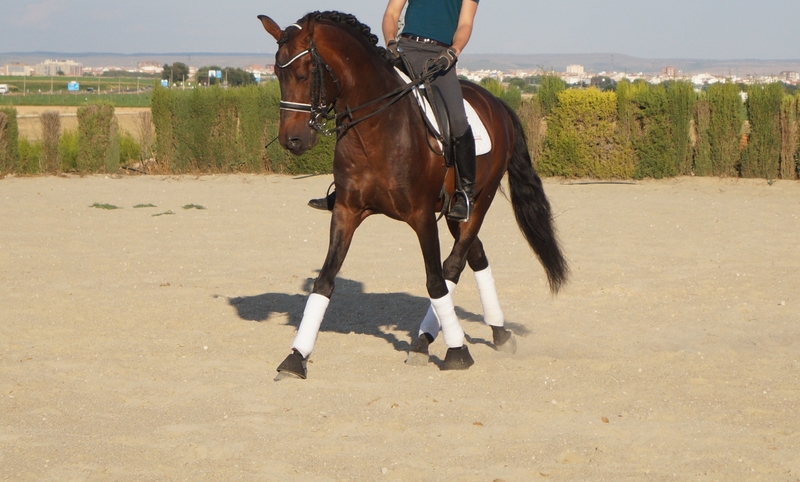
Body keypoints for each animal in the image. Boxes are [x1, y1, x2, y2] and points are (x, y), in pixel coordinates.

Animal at [258, 11, 568, 379]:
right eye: (277, 73)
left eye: (304, 74)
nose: (292, 141)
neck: (375, 128)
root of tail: (497, 104)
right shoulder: (346, 210)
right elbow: (325, 281)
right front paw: (296, 357)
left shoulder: (421, 217)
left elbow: (435, 281)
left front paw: (457, 352)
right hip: (453, 213)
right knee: (475, 257)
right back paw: (495, 333)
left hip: (479, 201)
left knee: (453, 265)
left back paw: (432, 340)